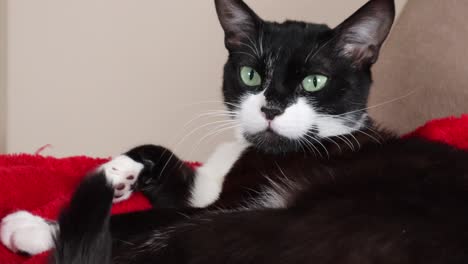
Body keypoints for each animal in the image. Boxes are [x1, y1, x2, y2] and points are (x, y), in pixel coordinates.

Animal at [2, 0, 468, 262]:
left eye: (314, 81)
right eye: (249, 74)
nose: (270, 107)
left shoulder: (229, 201)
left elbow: (152, 217)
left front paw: (32, 228)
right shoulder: (206, 186)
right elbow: (172, 168)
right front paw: (119, 171)